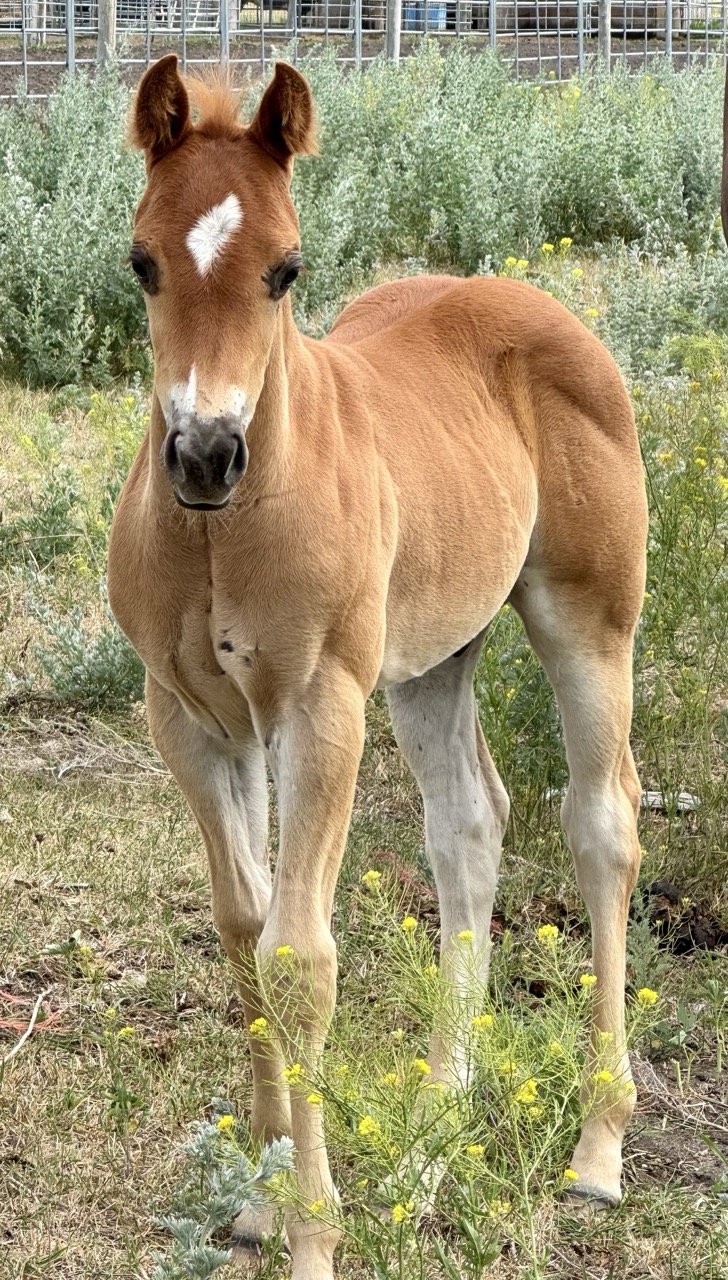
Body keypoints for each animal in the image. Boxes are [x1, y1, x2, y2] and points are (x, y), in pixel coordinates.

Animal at [108, 55, 648, 1280]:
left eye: (286, 268)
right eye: (143, 259)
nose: (204, 453)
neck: (222, 533)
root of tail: (535, 303)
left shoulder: (320, 707)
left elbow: (300, 958)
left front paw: (312, 1228)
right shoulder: (190, 719)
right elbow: (244, 929)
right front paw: (260, 1198)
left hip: (589, 624)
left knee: (602, 824)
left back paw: (597, 1146)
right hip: (433, 658)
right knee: (469, 824)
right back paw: (442, 1107)